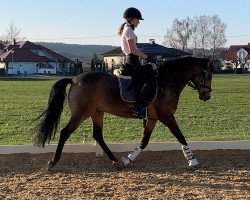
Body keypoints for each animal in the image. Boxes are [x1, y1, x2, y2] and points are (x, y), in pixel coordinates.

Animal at [34, 55, 214, 169]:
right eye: (209, 75)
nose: (207, 96)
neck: (167, 81)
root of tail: (74, 80)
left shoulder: (153, 118)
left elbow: (144, 141)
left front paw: (128, 159)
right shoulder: (166, 116)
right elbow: (180, 136)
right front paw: (192, 160)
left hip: (97, 113)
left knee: (97, 135)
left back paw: (116, 161)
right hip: (81, 114)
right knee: (65, 132)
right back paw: (53, 162)